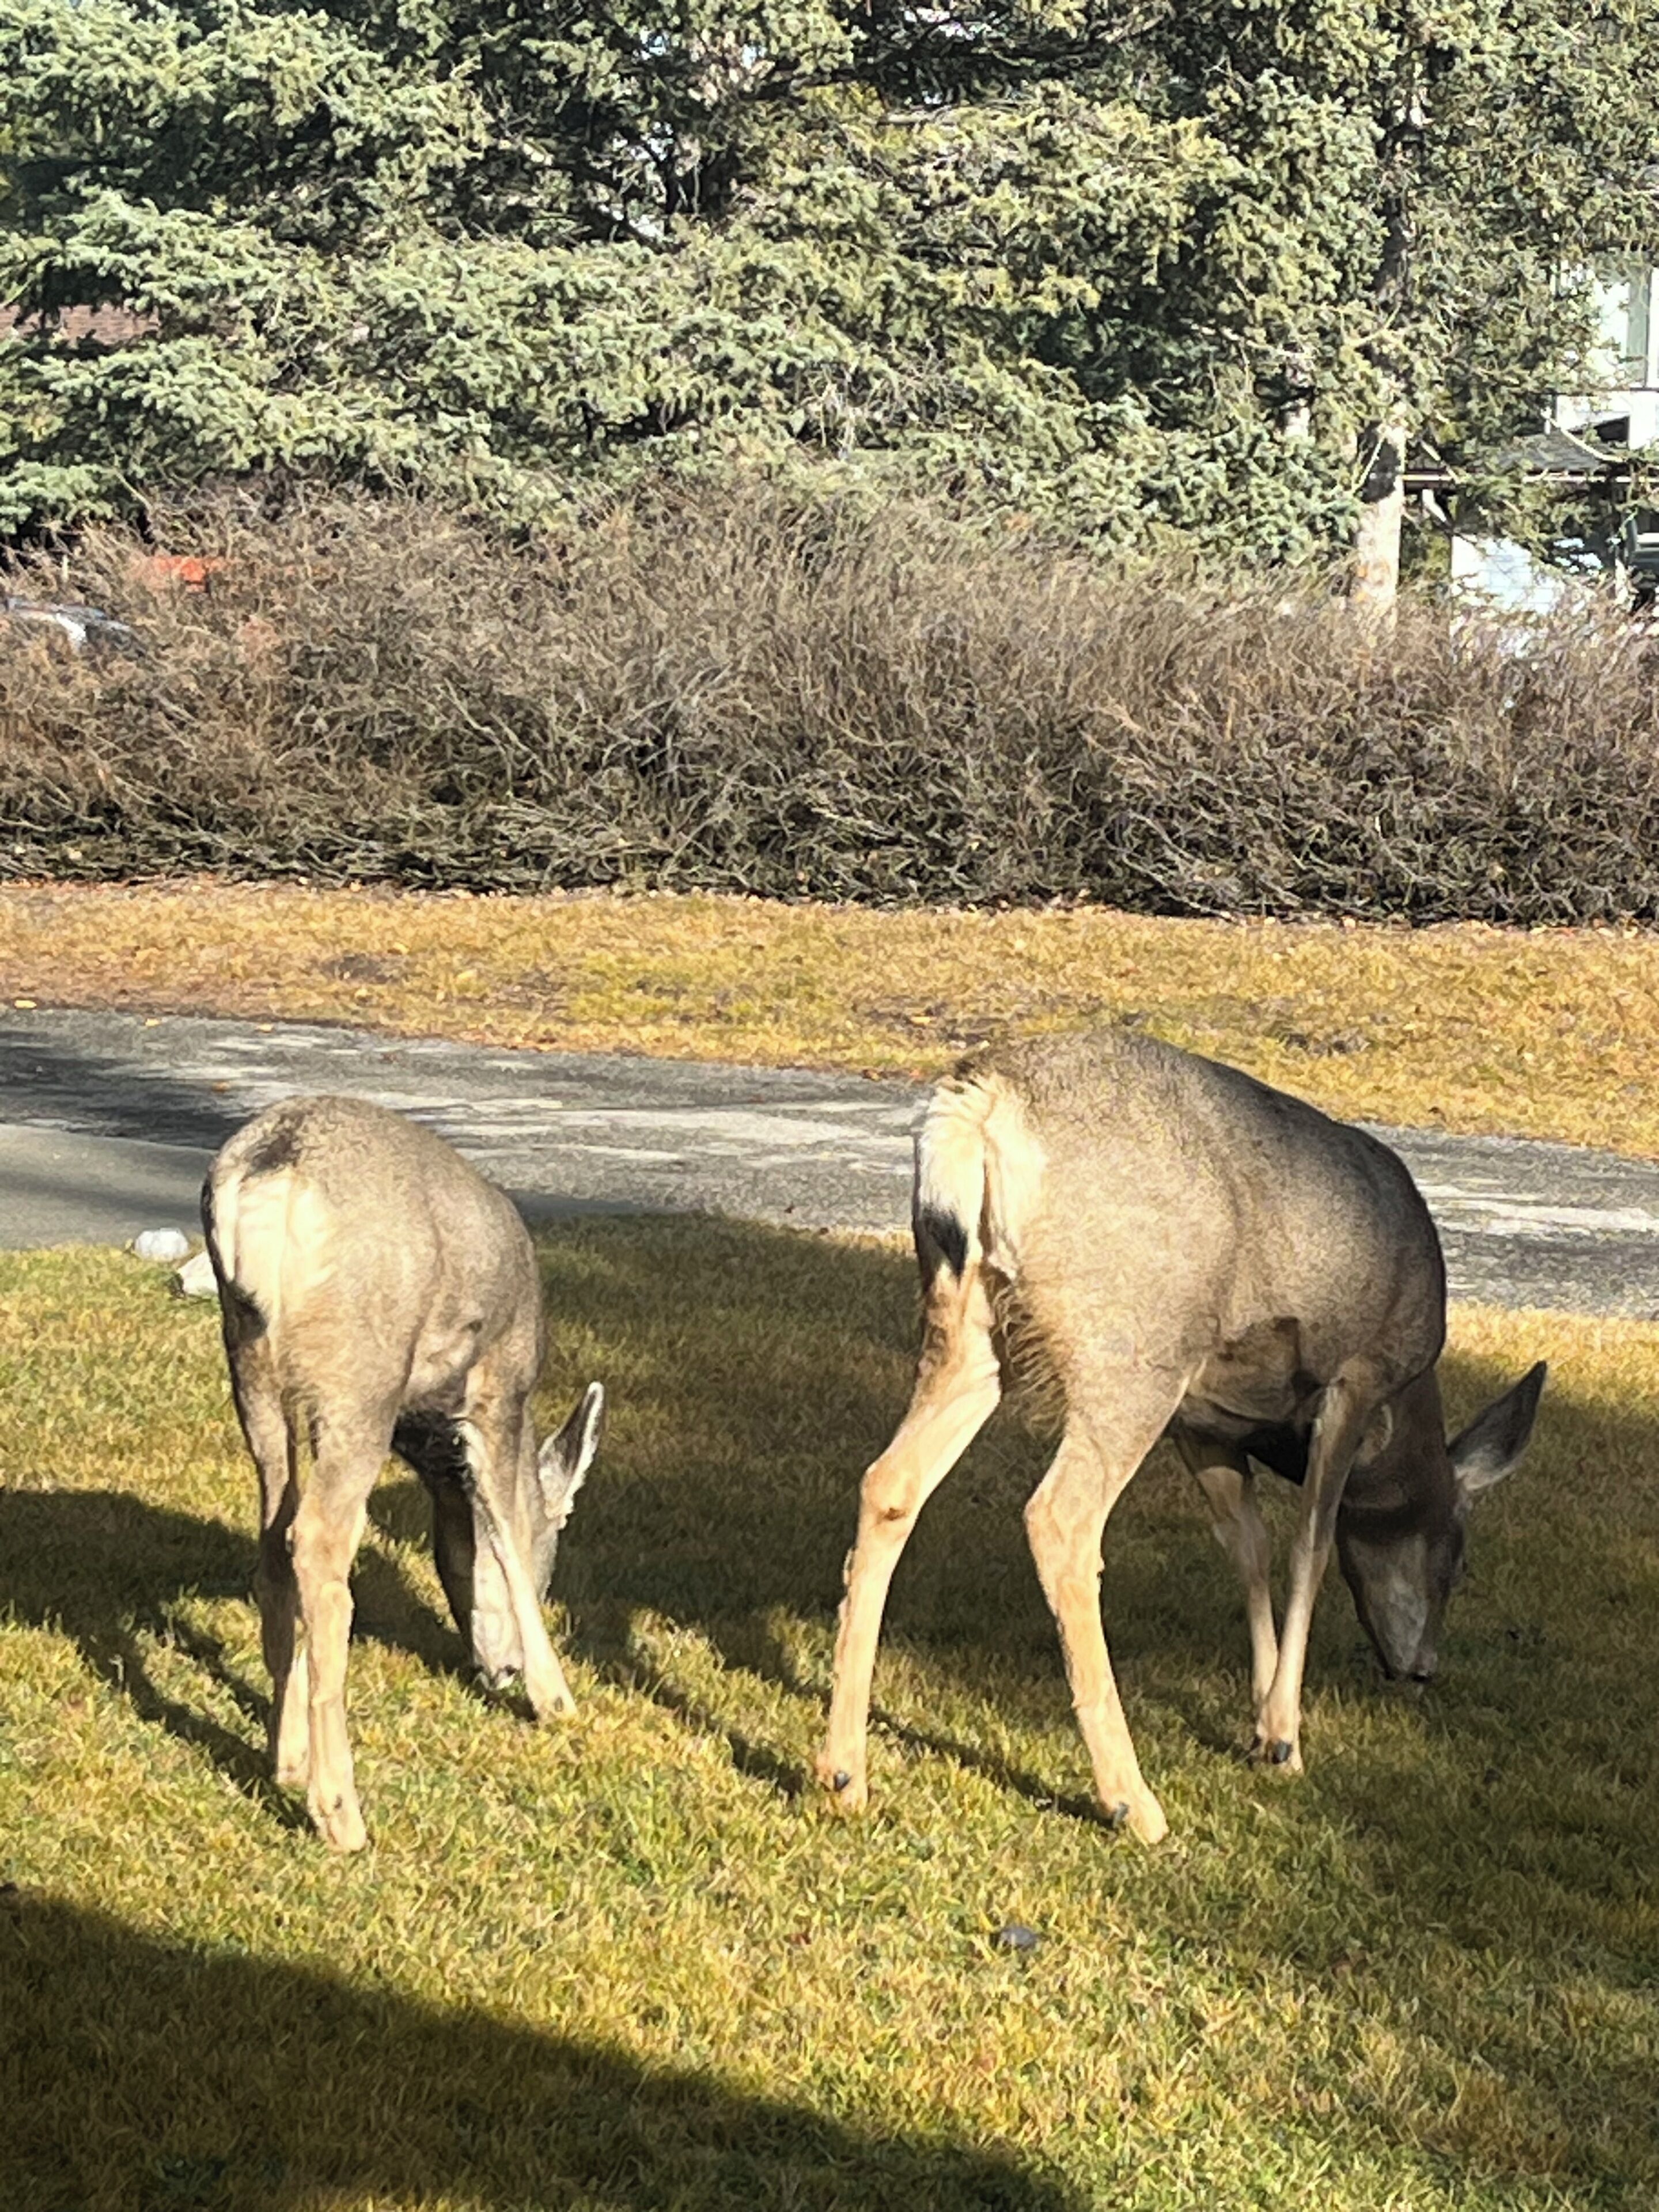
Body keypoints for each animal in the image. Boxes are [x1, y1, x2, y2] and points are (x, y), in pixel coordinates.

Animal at [203, 1094, 605, 1851]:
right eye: (558, 1550)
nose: (501, 1671)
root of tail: (274, 1167)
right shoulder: (499, 1385)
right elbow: (507, 1530)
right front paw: (556, 1698)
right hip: (361, 1371)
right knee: (318, 1545)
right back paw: (341, 1811)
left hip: (250, 1356)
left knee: (274, 1538)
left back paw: (286, 1760)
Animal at [816, 1027, 1544, 1845]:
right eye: (1458, 1556)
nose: (1421, 1669)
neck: (1403, 1422)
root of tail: (978, 1106)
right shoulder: (1356, 1374)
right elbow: (1312, 1545)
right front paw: (1286, 1737)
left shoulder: (1204, 1421)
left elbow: (1247, 1545)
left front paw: (1260, 1724)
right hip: (1133, 1344)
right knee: (1060, 1518)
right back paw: (1133, 1802)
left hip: (970, 1321)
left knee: (889, 1481)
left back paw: (843, 1775)